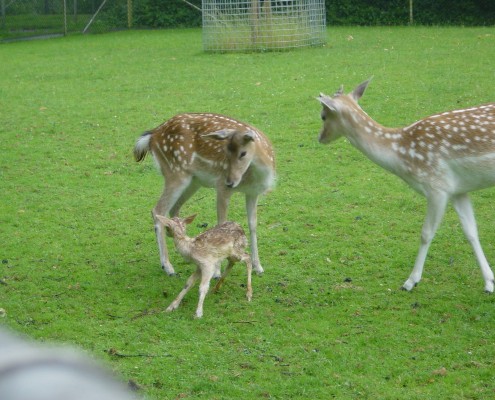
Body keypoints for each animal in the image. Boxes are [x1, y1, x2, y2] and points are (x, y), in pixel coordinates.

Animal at [134, 111, 278, 276]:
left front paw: (258, 267)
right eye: (226, 152)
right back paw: (168, 266)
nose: (230, 181)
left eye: (243, 153)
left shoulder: (253, 192)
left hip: (193, 181)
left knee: (174, 208)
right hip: (175, 172)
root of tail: (152, 135)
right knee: (158, 210)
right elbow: (222, 224)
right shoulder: (221, 187)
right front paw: (216, 272)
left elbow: (253, 225)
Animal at [318, 80, 495, 294]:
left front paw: (410, 281)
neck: (401, 155)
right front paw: (489, 282)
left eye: (323, 115)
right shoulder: (458, 190)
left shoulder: (436, 185)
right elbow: (471, 231)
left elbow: (426, 233)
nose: (319, 138)